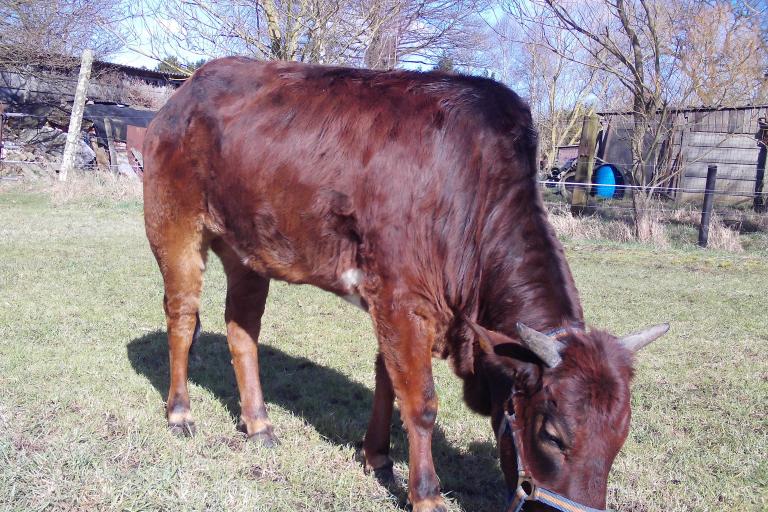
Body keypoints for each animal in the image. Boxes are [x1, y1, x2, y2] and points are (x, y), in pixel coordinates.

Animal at [142, 58, 664, 510]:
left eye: (620, 438)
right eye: (552, 434)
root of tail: (185, 92)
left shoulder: (396, 304)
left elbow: (387, 380)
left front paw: (377, 457)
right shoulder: (401, 299)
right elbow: (421, 402)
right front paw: (427, 494)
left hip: (248, 251)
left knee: (242, 330)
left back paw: (259, 424)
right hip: (174, 227)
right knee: (182, 316)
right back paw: (180, 413)